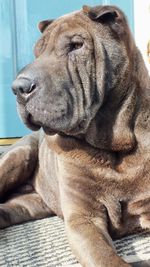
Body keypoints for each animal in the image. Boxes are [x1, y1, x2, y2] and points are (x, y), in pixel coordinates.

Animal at [0, 4, 150, 267]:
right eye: (37, 52)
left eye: (76, 45)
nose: (19, 88)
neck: (116, 146)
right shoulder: (83, 219)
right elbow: (108, 259)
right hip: (19, 155)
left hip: (29, 204)